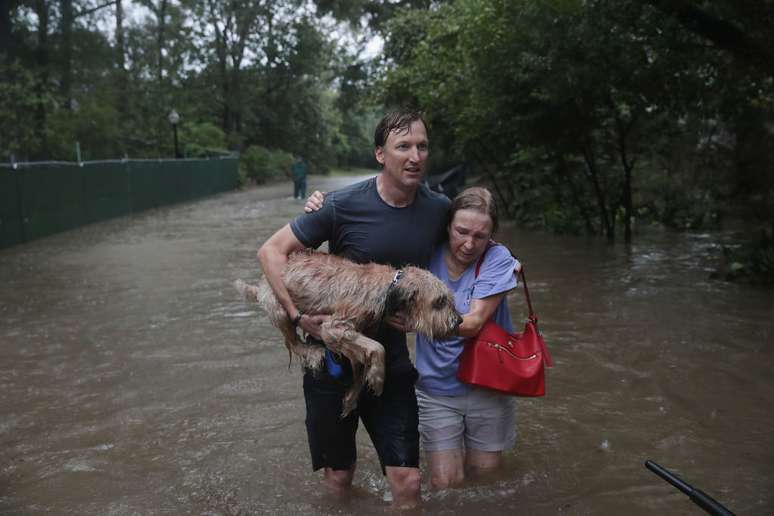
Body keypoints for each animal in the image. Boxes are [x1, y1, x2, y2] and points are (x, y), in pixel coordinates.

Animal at [230, 250, 460, 416]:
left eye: (448, 299)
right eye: (439, 301)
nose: (458, 321)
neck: (387, 289)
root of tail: (260, 285)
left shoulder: (363, 333)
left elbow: (363, 364)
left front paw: (351, 398)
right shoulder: (334, 327)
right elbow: (379, 348)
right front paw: (378, 379)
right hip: (280, 309)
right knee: (294, 342)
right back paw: (312, 352)